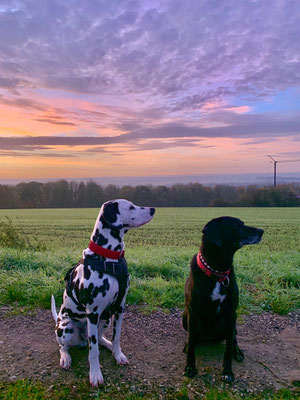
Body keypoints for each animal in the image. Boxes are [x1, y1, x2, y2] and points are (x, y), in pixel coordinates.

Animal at [50, 200, 156, 388]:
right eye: (130, 207)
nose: (153, 209)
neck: (109, 258)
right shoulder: (93, 313)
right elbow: (93, 351)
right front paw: (95, 374)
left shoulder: (119, 308)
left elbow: (117, 337)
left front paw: (117, 354)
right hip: (66, 326)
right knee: (64, 346)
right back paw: (66, 358)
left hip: (105, 319)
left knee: (99, 339)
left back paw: (107, 344)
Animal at [183, 217, 262, 382]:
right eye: (237, 225)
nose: (261, 231)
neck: (217, 271)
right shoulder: (193, 312)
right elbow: (192, 343)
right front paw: (190, 367)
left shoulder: (232, 313)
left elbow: (228, 349)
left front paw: (227, 372)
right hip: (184, 318)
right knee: (193, 337)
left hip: (232, 325)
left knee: (233, 339)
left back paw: (237, 351)